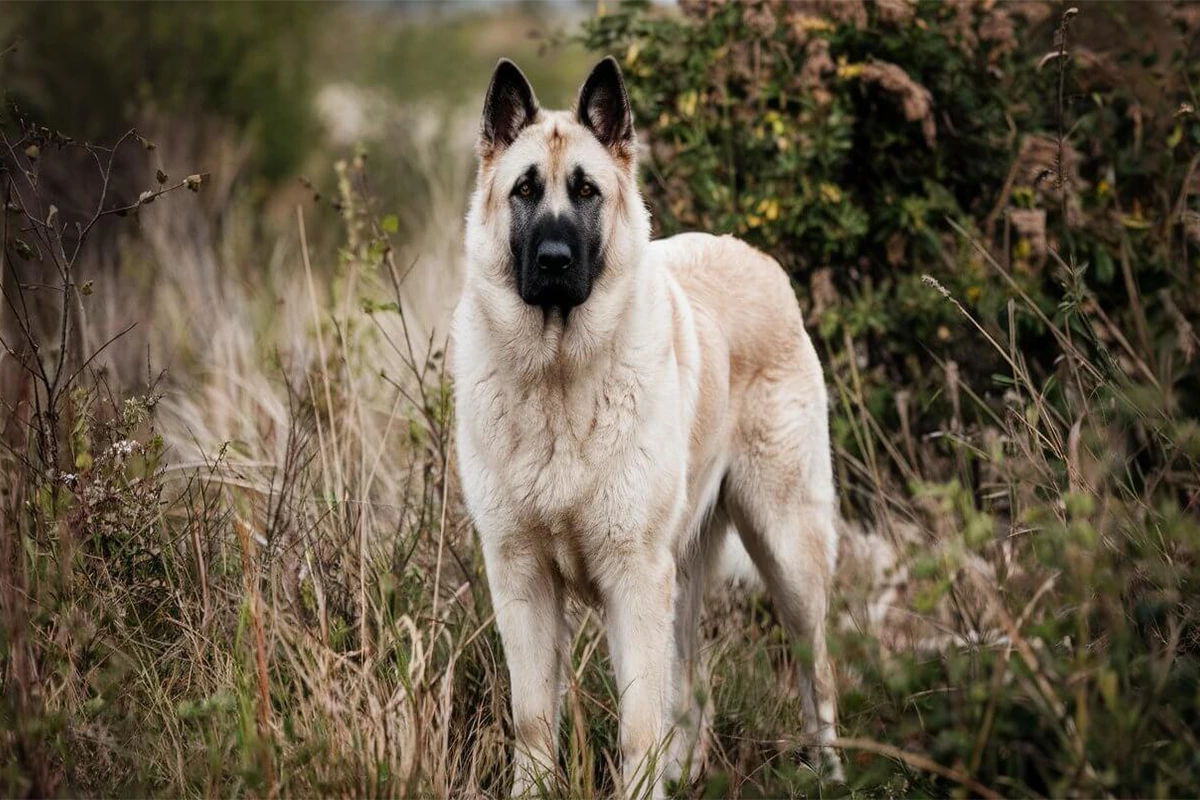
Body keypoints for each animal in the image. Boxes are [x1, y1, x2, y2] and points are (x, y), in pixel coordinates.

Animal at [451, 57, 844, 800]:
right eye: (525, 190)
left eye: (586, 191)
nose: (552, 260)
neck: (558, 378)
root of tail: (753, 255)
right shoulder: (521, 579)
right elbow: (532, 720)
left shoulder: (633, 580)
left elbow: (637, 725)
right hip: (683, 574)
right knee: (692, 685)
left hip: (787, 554)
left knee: (819, 674)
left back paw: (831, 774)